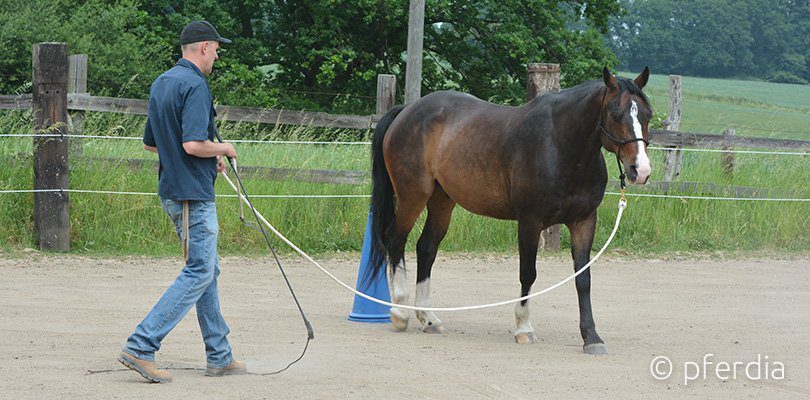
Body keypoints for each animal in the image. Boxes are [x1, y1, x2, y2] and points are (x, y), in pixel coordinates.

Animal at [364, 68, 652, 354]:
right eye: (615, 115)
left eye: (647, 114)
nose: (641, 170)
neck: (559, 145)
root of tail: (408, 110)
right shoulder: (530, 222)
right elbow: (528, 273)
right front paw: (524, 328)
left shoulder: (584, 221)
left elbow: (583, 279)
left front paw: (591, 337)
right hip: (413, 196)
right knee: (395, 239)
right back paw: (400, 313)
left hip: (442, 201)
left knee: (426, 248)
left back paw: (428, 318)